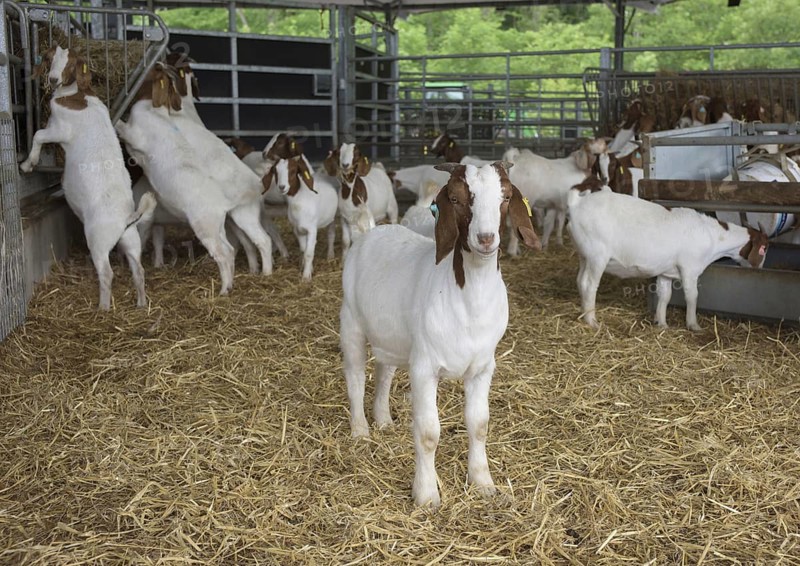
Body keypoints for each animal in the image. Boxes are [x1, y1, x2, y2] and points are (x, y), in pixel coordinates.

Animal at [20, 46, 156, 310]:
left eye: (70, 64)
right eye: (50, 58)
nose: (53, 79)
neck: (77, 96)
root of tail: (126, 218)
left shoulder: (60, 130)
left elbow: (39, 135)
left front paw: (27, 164)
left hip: (98, 239)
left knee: (107, 273)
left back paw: (103, 308)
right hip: (131, 239)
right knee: (139, 270)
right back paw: (141, 303)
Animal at [340, 161, 540, 507]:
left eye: (505, 197)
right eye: (456, 199)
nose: (486, 239)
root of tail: (369, 233)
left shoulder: (483, 368)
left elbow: (479, 425)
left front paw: (483, 482)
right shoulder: (424, 368)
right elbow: (428, 432)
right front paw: (426, 494)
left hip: (391, 336)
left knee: (384, 370)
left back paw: (383, 419)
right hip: (350, 322)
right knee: (355, 377)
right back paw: (361, 431)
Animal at [567, 188, 769, 331]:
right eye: (765, 248)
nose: (760, 269)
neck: (713, 236)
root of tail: (576, 204)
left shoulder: (666, 272)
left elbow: (665, 296)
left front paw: (662, 323)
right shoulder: (689, 268)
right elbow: (692, 296)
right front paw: (694, 325)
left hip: (584, 256)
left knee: (579, 280)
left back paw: (583, 314)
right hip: (597, 255)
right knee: (589, 284)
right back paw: (592, 321)